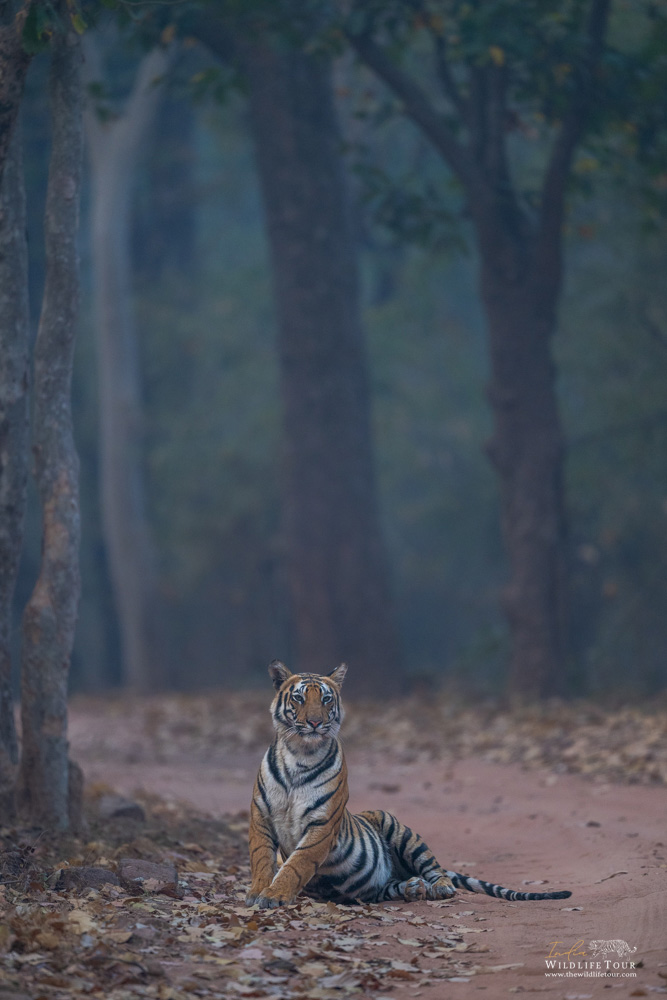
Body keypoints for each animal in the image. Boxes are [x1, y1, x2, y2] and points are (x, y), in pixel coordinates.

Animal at [246, 660, 572, 909]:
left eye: (326, 699)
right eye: (299, 698)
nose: (315, 723)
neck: (300, 754)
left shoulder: (322, 824)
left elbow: (296, 864)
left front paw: (274, 896)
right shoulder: (261, 814)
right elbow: (261, 858)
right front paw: (257, 893)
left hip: (399, 829)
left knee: (435, 869)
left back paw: (439, 888)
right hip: (377, 881)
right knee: (389, 885)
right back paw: (413, 888)